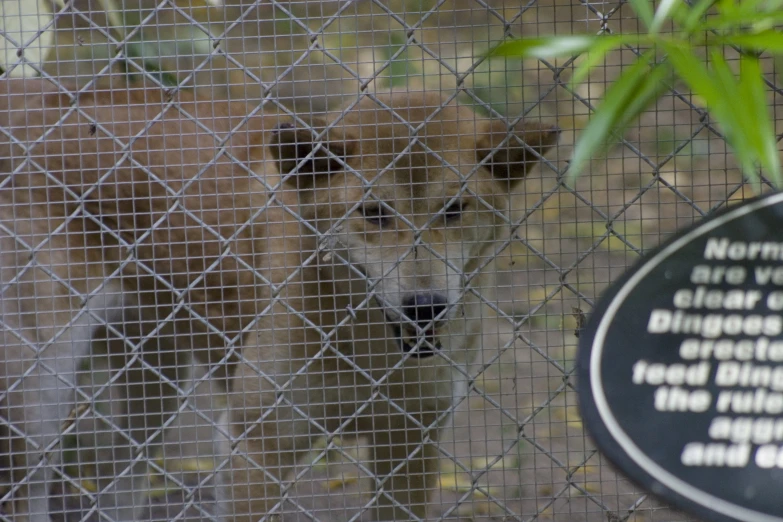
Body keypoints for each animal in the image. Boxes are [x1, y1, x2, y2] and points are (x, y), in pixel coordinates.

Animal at [0, 78, 556, 520]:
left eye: (454, 209)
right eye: (373, 212)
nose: (426, 305)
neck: (366, 349)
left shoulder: (409, 445)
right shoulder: (254, 448)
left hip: (152, 388)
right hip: (36, 410)